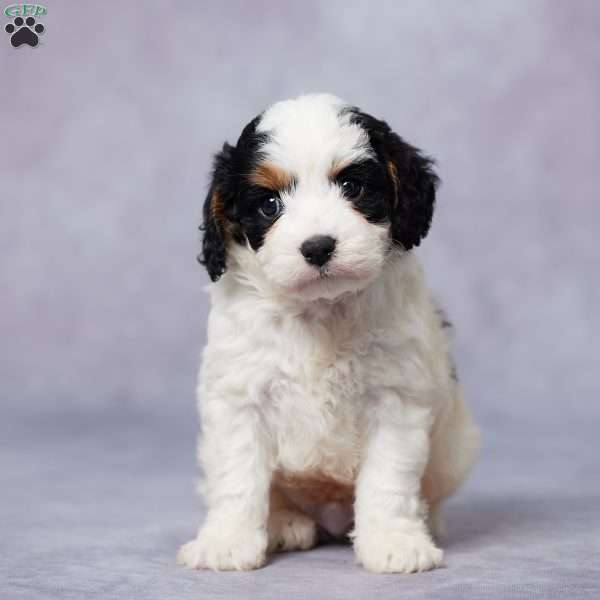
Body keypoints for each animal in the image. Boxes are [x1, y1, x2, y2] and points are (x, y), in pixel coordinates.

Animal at [177, 92, 478, 572]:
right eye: (269, 205)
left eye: (352, 187)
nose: (318, 247)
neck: (320, 310)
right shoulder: (239, 398)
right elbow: (238, 476)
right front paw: (226, 542)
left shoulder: (396, 397)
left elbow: (388, 478)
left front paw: (394, 541)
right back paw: (284, 523)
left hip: (456, 448)